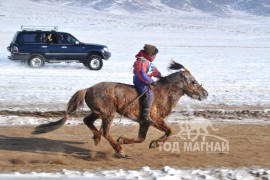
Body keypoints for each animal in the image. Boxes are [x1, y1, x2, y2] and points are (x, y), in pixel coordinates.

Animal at [32, 61, 208, 158]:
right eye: (193, 81)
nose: (205, 93)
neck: (162, 93)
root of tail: (88, 89)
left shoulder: (144, 122)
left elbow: (141, 138)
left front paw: (123, 140)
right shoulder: (155, 120)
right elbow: (170, 131)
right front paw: (154, 144)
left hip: (98, 112)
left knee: (87, 121)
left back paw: (98, 138)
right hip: (108, 114)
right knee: (105, 131)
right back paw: (119, 150)